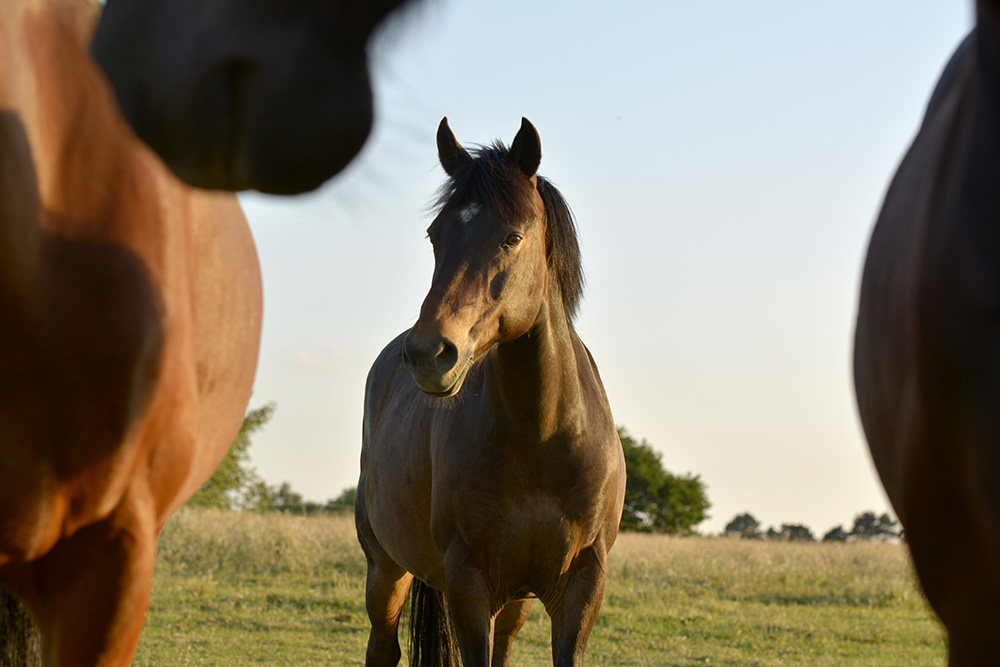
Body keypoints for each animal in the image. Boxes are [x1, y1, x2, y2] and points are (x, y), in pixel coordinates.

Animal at [356, 117, 626, 667]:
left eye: (512, 236)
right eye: (435, 234)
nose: (429, 352)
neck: (541, 434)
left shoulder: (582, 583)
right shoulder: (470, 581)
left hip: (515, 600)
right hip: (386, 570)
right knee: (383, 647)